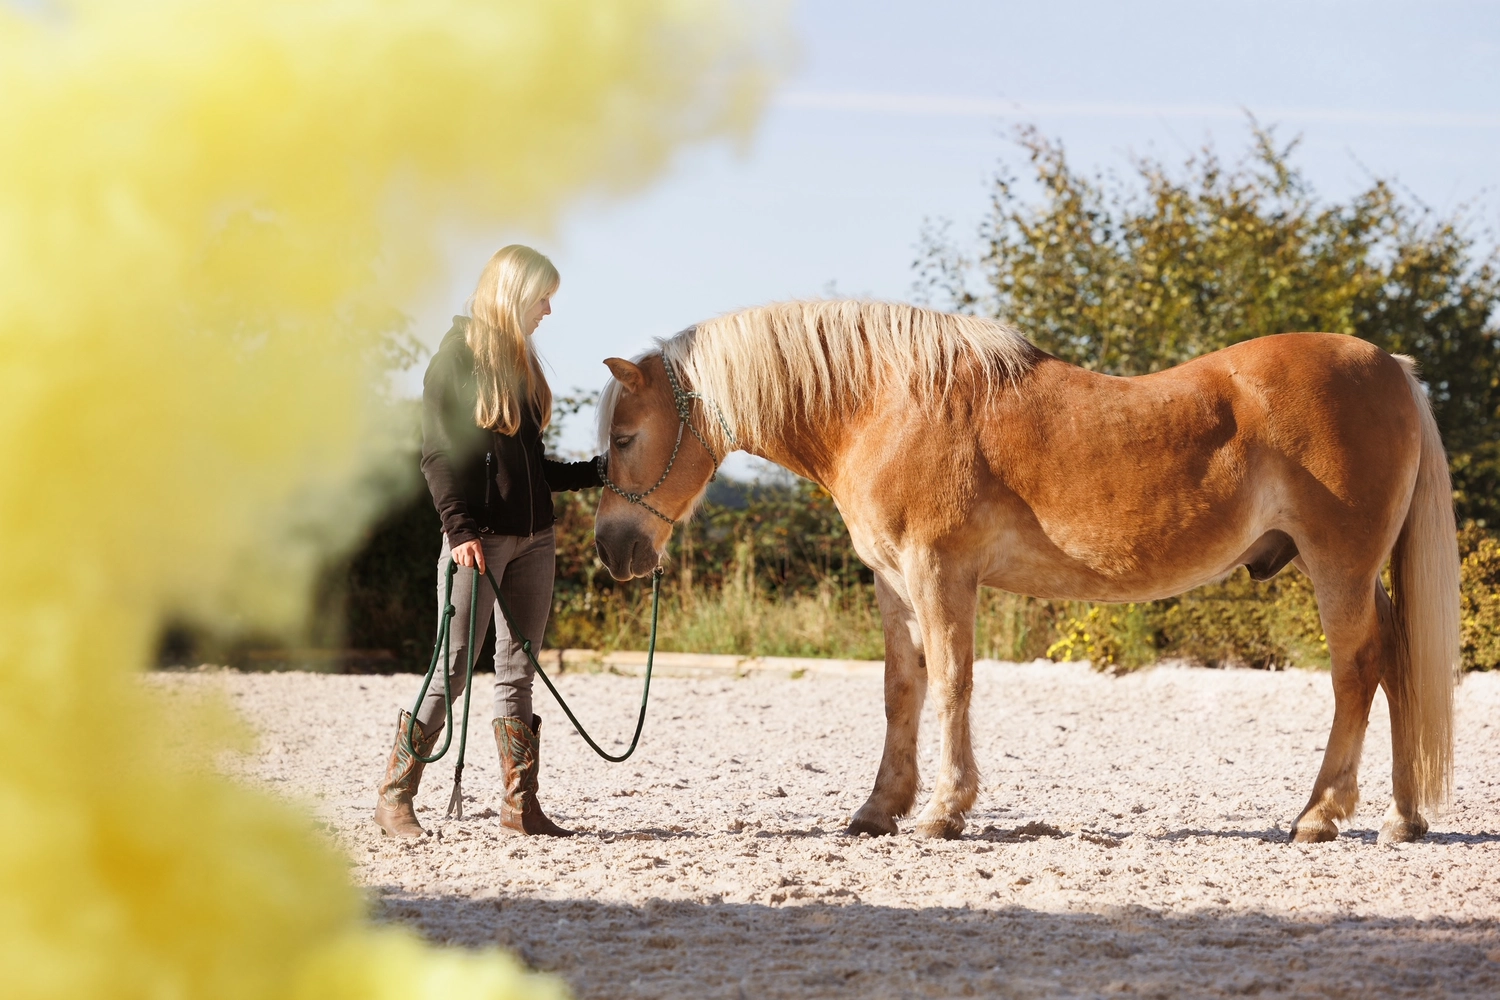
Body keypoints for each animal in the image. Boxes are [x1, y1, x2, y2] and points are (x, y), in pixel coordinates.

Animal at [591, 299, 1460, 844]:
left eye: (626, 436)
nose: (612, 550)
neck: (884, 405)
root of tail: (1394, 369)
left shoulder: (940, 572)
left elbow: (952, 683)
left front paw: (943, 811)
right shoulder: (893, 581)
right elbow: (901, 690)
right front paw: (879, 808)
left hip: (1337, 563)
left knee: (1357, 671)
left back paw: (1320, 814)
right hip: (1360, 571)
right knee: (1397, 667)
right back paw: (1401, 818)